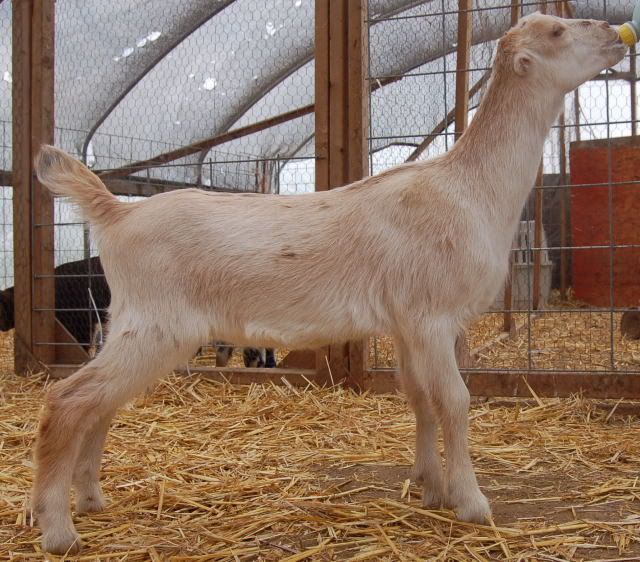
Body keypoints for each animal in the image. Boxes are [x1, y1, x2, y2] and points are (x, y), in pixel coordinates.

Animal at [30, 14, 626, 554]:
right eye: (556, 32)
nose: (616, 34)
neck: (469, 186)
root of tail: (117, 215)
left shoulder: (406, 324)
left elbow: (420, 398)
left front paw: (431, 487)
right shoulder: (432, 316)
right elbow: (455, 400)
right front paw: (473, 503)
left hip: (132, 321)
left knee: (100, 404)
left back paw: (90, 499)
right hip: (157, 322)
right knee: (67, 398)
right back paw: (58, 530)